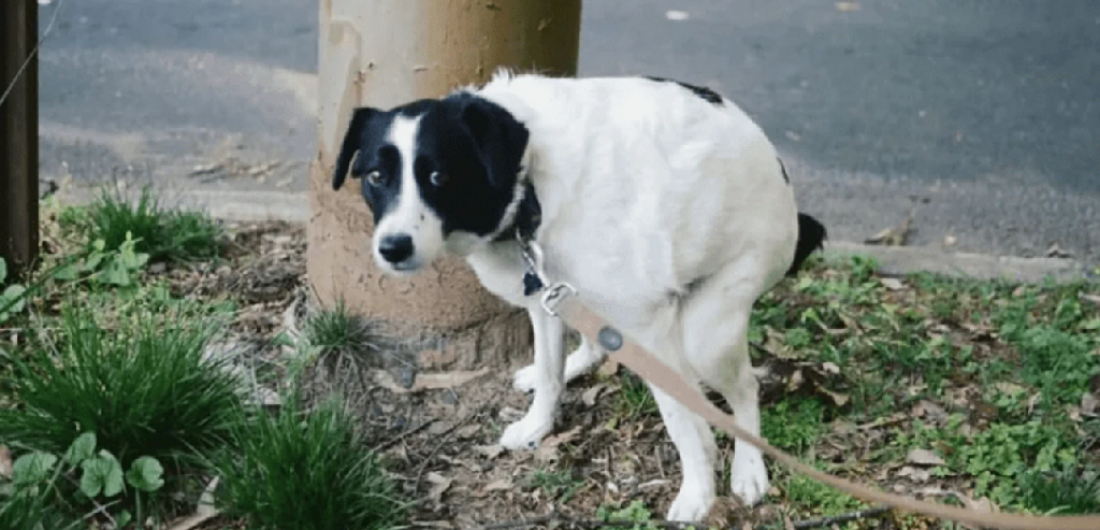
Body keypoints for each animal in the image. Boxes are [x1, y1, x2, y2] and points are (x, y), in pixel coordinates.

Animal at [325, 70, 827, 521]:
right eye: (375, 176)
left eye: (439, 176)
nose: (392, 248)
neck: (529, 182)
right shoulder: (543, 296)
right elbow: (551, 375)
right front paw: (537, 424)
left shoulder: (649, 327)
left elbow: (684, 422)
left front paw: (700, 493)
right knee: (594, 343)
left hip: (711, 330)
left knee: (745, 388)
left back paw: (750, 467)